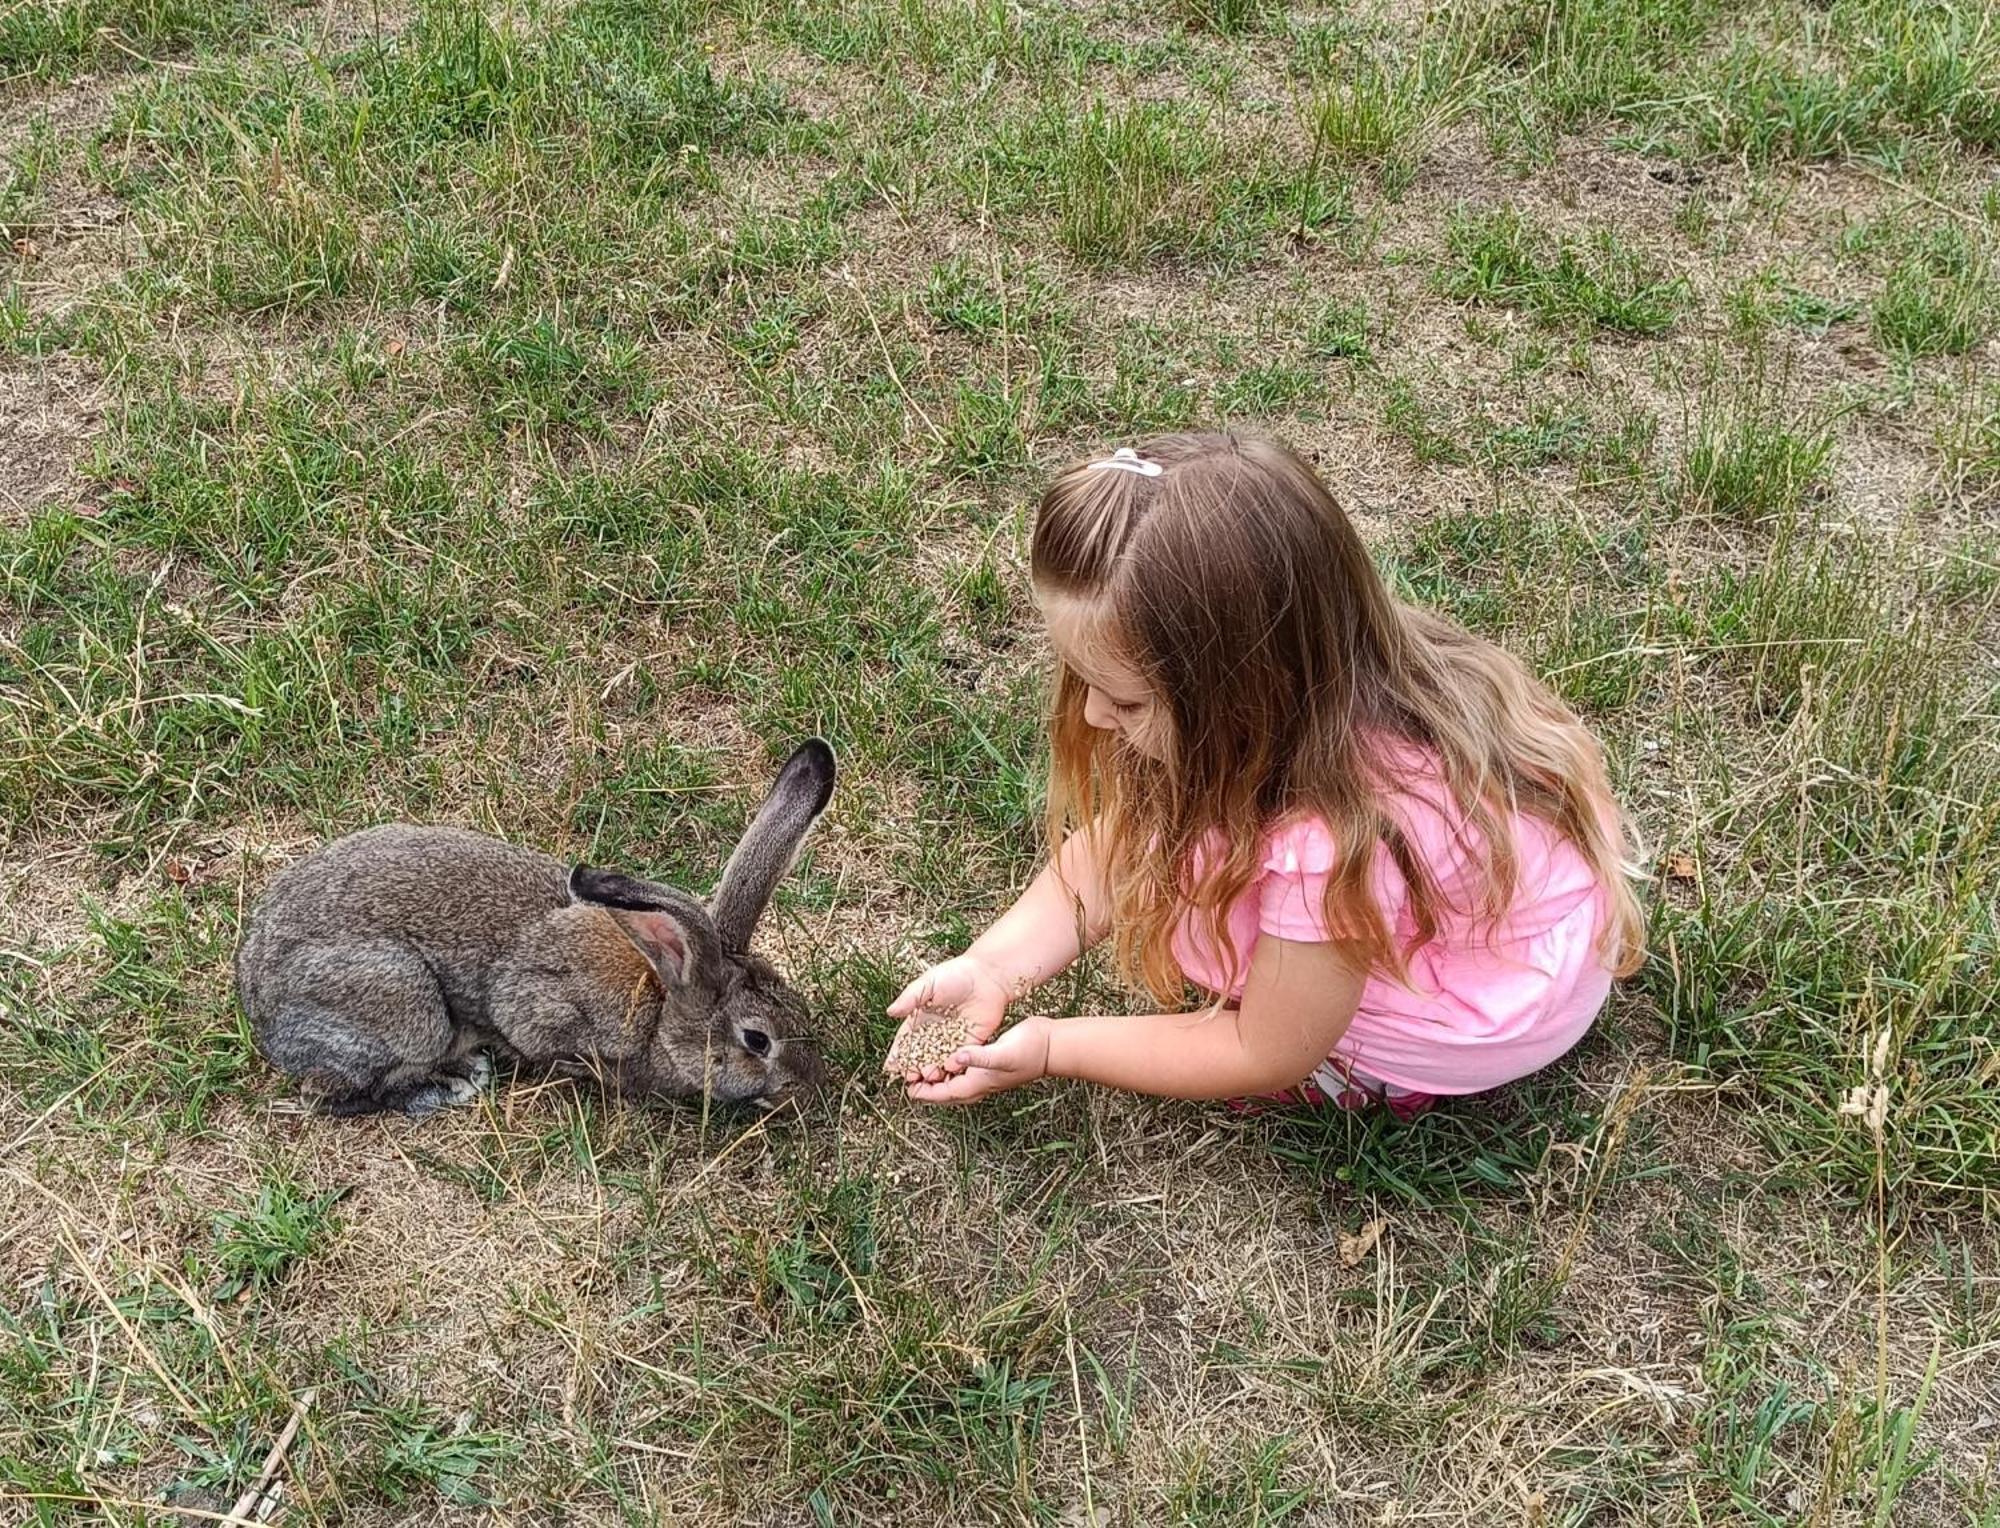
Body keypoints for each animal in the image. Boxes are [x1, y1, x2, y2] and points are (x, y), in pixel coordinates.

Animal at [240, 736, 836, 1112]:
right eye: (757, 1041)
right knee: (327, 1096)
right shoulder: (542, 1009)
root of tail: (257, 1005)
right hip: (406, 1002)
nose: (808, 1088)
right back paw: (450, 1085)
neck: (663, 1004)